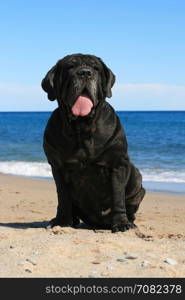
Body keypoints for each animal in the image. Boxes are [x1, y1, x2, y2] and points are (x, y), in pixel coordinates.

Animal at [41, 53, 145, 232]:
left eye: (95, 68)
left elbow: (118, 195)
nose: (85, 73)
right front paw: (61, 221)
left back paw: (130, 222)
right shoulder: (57, 167)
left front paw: (121, 223)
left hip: (137, 180)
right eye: (70, 67)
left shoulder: (118, 164)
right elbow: (63, 196)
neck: (82, 128)